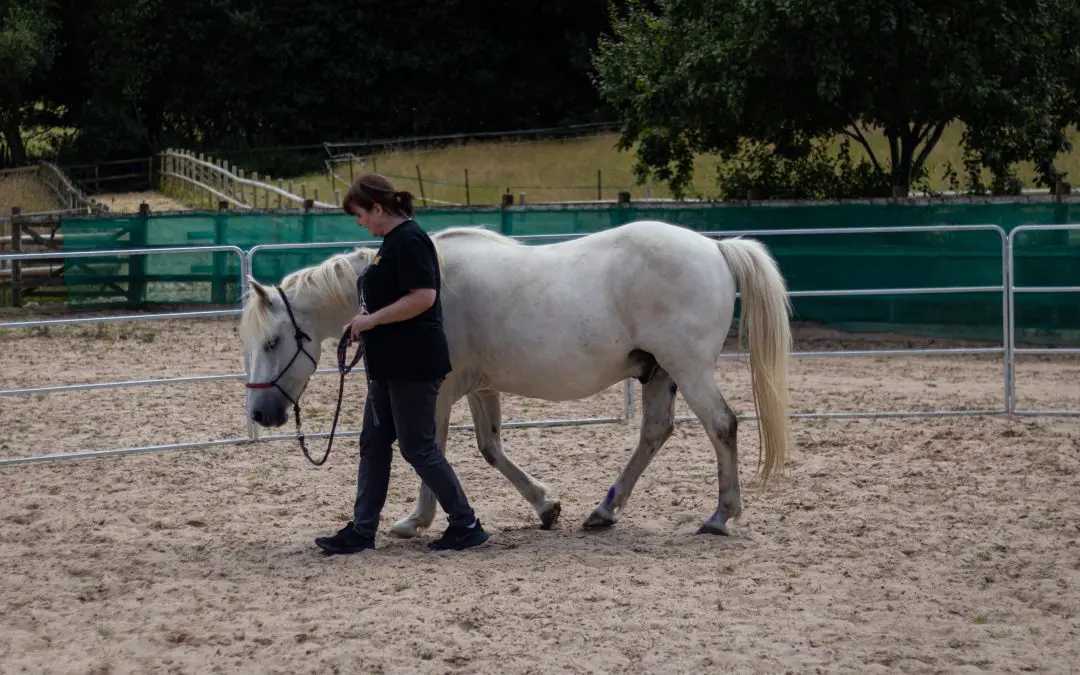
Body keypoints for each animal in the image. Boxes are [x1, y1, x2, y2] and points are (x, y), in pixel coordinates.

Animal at [240, 219, 793, 537]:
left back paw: (720, 516)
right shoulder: (481, 388)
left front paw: (417, 521)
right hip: (657, 372)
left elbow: (427, 449)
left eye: (272, 342)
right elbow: (489, 449)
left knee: (722, 426)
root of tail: (715, 248)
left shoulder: (437, 392)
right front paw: (546, 507)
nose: (261, 413)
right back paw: (604, 511)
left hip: (688, 368)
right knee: (655, 433)